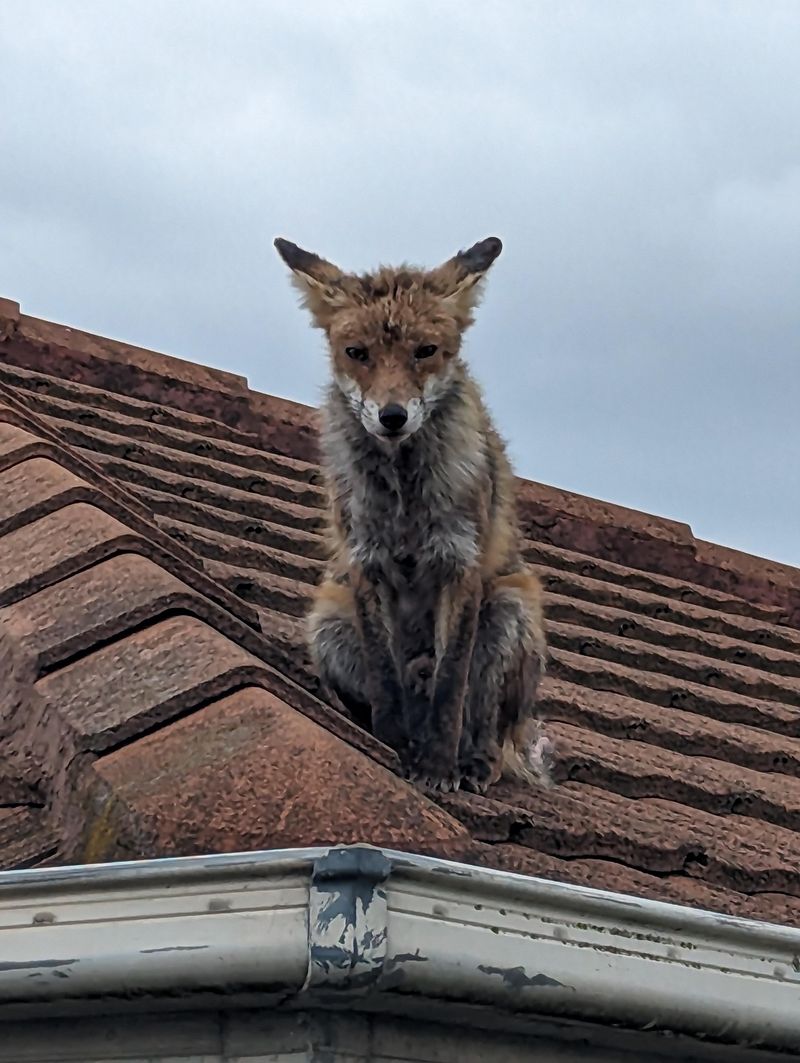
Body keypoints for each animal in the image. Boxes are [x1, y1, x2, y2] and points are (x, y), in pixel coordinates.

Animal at [274, 234, 548, 799]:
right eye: (357, 354)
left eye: (425, 352)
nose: (393, 416)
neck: (404, 498)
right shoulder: (365, 565)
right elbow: (386, 680)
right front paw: (392, 748)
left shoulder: (459, 566)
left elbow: (449, 688)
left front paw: (438, 768)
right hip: (328, 624)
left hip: (510, 607)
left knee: (485, 722)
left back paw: (476, 762)